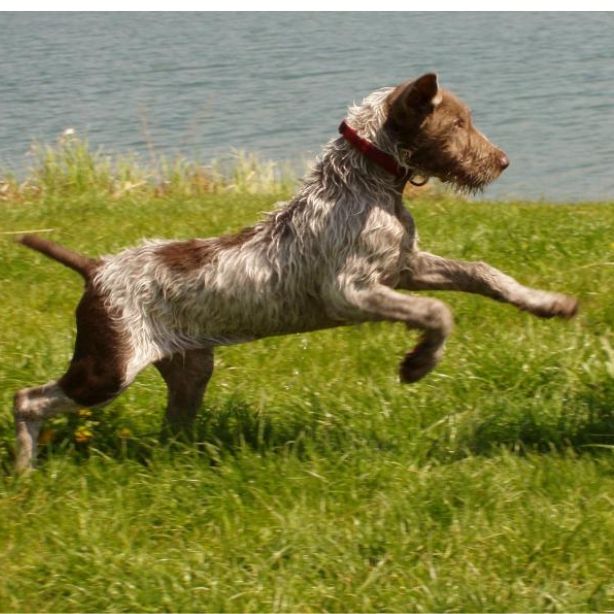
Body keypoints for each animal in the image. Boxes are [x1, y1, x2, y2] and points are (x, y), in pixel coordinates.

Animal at [14, 74, 584, 474]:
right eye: (459, 125)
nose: (503, 161)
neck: (365, 183)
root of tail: (96, 268)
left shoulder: (406, 267)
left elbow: (484, 273)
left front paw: (548, 303)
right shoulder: (350, 292)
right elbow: (437, 312)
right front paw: (419, 364)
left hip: (190, 369)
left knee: (170, 426)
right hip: (107, 368)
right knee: (27, 400)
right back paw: (24, 470)